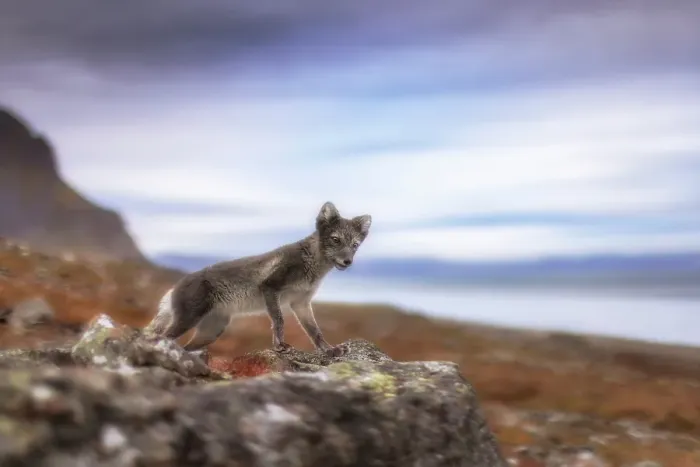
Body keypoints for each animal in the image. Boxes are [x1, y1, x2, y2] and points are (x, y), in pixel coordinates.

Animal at [143, 201, 372, 358]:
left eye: (355, 245)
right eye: (336, 239)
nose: (347, 261)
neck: (313, 266)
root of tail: (173, 289)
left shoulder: (301, 302)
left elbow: (314, 330)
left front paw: (329, 350)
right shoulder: (270, 287)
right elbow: (278, 320)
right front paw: (279, 346)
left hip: (211, 331)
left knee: (184, 346)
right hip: (188, 319)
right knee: (162, 338)